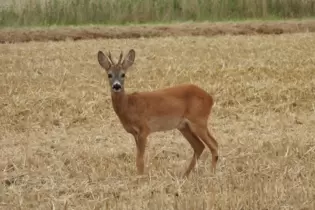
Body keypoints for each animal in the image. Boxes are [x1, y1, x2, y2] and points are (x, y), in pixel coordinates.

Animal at [97, 48, 218, 176]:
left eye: (123, 74)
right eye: (109, 75)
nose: (116, 86)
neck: (129, 105)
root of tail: (210, 98)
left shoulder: (144, 129)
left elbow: (140, 159)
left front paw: (141, 177)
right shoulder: (135, 133)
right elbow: (138, 158)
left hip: (199, 120)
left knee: (214, 144)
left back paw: (211, 173)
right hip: (184, 126)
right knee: (199, 146)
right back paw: (185, 174)